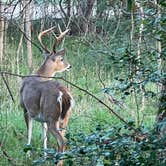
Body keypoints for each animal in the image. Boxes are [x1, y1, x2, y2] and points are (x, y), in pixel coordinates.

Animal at [19, 26, 74, 165]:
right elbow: (43, 135)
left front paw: (27, 154)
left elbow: (29, 132)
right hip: (64, 118)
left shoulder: (25, 108)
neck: (40, 74)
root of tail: (64, 94)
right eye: (61, 59)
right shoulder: (39, 115)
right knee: (63, 139)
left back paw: (58, 162)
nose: (69, 66)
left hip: (52, 116)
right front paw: (43, 156)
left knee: (62, 140)